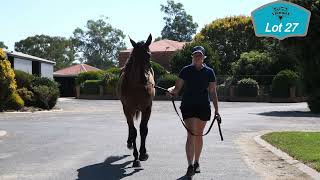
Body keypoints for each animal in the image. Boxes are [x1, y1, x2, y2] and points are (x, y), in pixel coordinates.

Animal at [119, 34, 156, 167]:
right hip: (126, 109)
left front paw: (143, 153)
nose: (144, 79)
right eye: (134, 56)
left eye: (149, 55)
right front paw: (136, 158)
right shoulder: (128, 108)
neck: (137, 87)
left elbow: (143, 129)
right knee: (130, 126)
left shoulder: (147, 108)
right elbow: (134, 131)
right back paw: (129, 142)